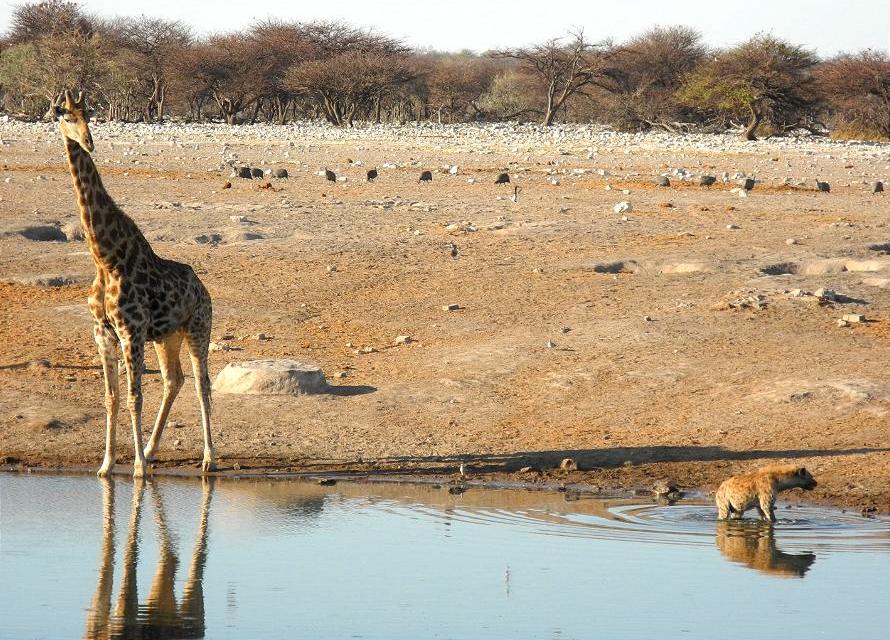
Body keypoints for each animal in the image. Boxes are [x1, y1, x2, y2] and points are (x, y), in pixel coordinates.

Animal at [54, 89, 217, 476]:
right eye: (65, 115)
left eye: (89, 115)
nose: (88, 142)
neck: (105, 258)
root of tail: (202, 288)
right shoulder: (103, 332)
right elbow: (111, 398)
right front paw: (107, 465)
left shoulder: (131, 331)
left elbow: (134, 397)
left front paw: (138, 468)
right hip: (166, 336)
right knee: (174, 380)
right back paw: (152, 448)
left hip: (198, 328)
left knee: (202, 384)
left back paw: (208, 457)